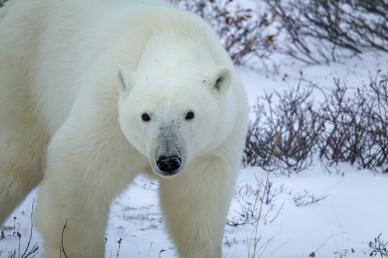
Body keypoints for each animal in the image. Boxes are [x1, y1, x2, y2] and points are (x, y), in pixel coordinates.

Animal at [0, 0, 249, 256]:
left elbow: (198, 205)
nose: (168, 160)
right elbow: (78, 176)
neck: (172, 35)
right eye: (145, 116)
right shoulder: (108, 111)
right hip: (24, 72)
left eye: (189, 114)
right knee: (16, 161)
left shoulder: (214, 145)